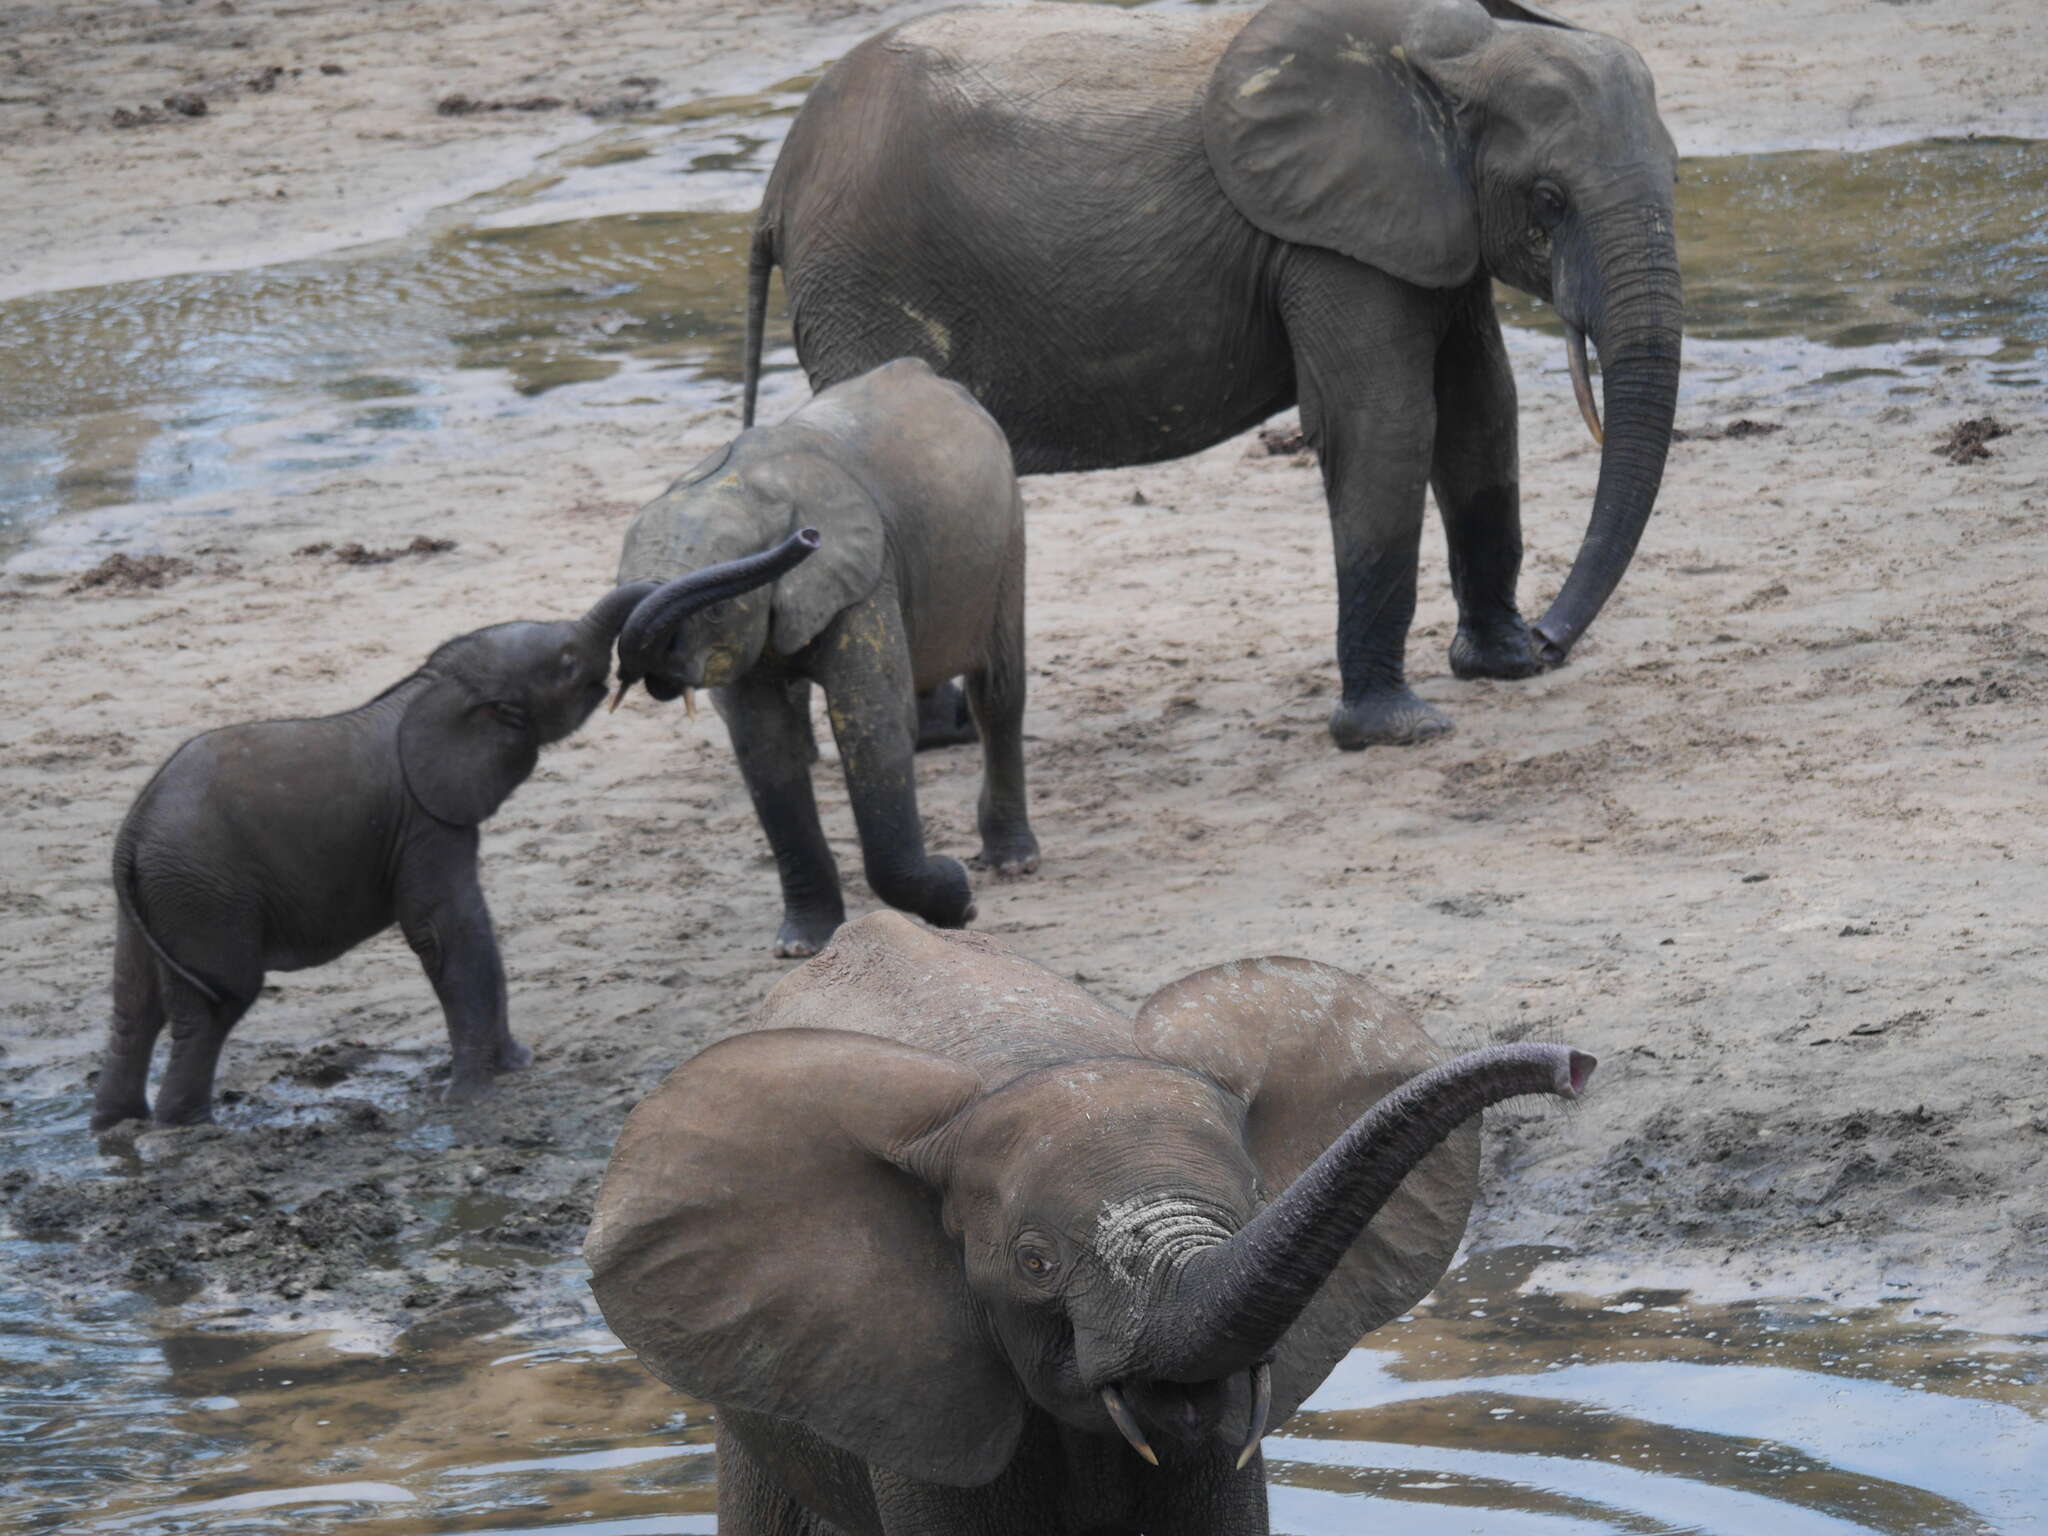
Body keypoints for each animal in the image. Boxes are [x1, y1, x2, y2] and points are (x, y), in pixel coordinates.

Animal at [92, 536, 815, 1138]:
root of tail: (129, 839)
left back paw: (115, 1127)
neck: (432, 686)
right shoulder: (425, 820)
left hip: (163, 896)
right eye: (568, 661)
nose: (807, 537)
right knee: (211, 1006)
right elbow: (447, 929)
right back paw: (186, 1130)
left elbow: (468, 929)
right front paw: (474, 1096)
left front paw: (507, 1069)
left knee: (135, 1003)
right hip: (205, 896)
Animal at [602, 362, 1024, 962]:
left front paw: (958, 900)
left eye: (718, 608)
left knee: (998, 692)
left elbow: (870, 725)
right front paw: (801, 945)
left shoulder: (867, 572)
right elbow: (764, 745)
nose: (807, 538)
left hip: (1007, 532)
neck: (743, 488)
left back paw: (1013, 862)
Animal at [745, 0, 1687, 753]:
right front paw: (1399, 731)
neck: (1461, 55)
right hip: (863, 279)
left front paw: (1502, 668)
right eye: (1550, 200)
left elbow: (1480, 411)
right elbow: (1386, 423)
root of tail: (778, 182)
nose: (1554, 639)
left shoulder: (1428, 229)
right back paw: (935, 739)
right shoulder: (1328, 240)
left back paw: (947, 737)